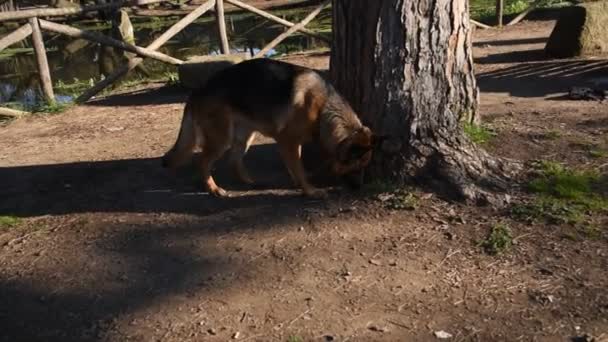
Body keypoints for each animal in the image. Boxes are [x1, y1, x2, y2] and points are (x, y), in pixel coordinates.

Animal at [162, 58, 372, 198]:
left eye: (364, 166)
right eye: (357, 165)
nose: (360, 187)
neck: (323, 108)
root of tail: (198, 90)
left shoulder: (292, 143)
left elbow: (295, 167)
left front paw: (299, 183)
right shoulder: (289, 141)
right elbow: (298, 167)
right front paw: (310, 190)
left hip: (245, 136)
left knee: (234, 160)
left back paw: (248, 181)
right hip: (221, 139)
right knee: (203, 162)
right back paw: (214, 189)